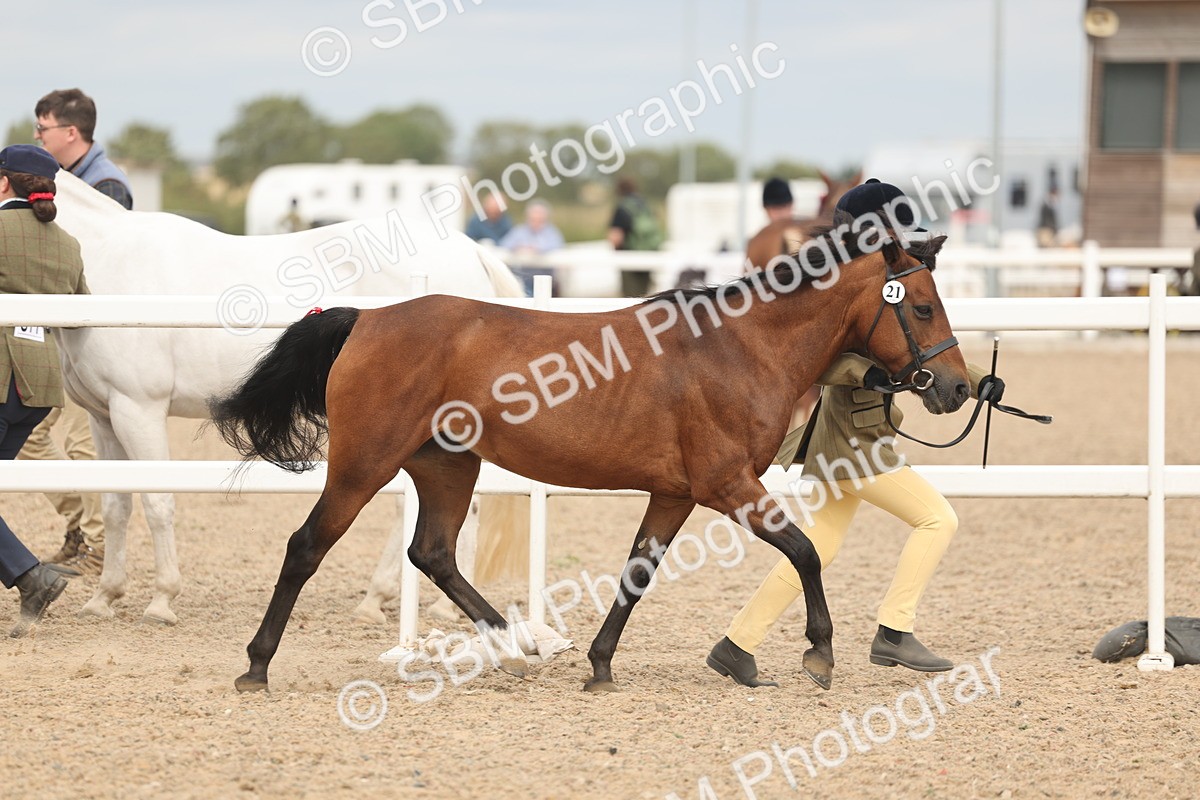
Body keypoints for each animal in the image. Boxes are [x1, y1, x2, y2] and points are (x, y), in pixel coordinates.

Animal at [50, 171, 526, 624]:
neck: (110, 260)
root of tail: (473, 255)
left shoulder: (138, 409)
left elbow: (157, 502)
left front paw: (162, 600)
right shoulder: (104, 416)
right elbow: (116, 506)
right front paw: (103, 597)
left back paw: (388, 601)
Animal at [210, 225, 971, 694]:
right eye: (922, 308)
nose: (960, 387)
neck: (740, 347)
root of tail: (367, 318)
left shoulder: (677, 492)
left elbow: (637, 573)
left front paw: (600, 665)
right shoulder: (729, 483)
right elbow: (805, 551)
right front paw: (819, 652)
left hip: (447, 466)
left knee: (433, 553)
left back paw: (517, 648)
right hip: (363, 465)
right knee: (307, 546)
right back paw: (256, 666)